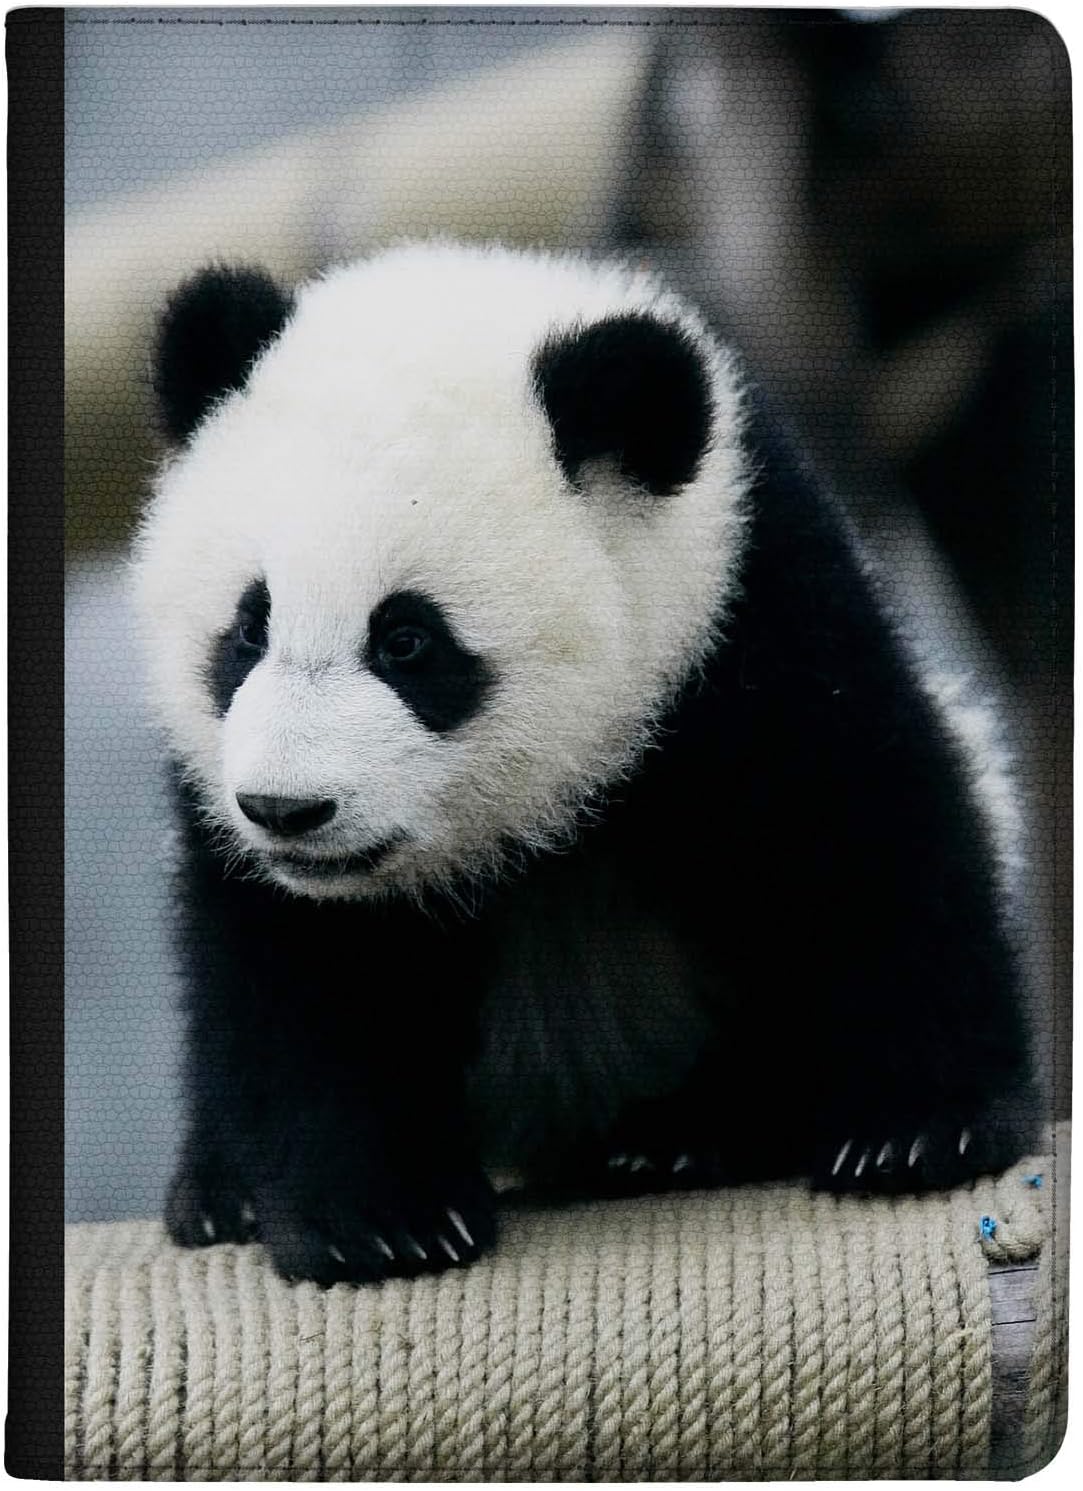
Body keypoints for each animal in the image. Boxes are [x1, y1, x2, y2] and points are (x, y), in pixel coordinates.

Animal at [133, 240, 1036, 1286]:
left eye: (407, 641)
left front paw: (922, 1128)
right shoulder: (227, 810)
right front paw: (379, 1218)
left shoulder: (749, 617)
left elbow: (865, 836)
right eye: (248, 628)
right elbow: (299, 967)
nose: (287, 809)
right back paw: (216, 1191)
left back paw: (689, 1129)